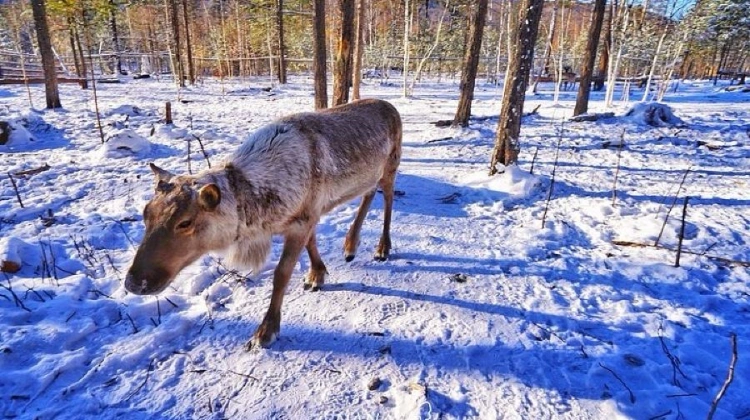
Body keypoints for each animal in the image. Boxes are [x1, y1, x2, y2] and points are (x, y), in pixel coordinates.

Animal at [124, 99, 402, 349]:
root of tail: (391, 107)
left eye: (185, 222)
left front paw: (266, 331)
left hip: (391, 165)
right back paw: (350, 245)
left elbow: (281, 274)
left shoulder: (302, 219)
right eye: (146, 214)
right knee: (368, 194)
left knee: (388, 198)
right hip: (369, 175)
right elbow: (311, 243)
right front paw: (317, 275)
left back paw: (382, 248)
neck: (261, 212)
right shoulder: (307, 216)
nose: (134, 282)